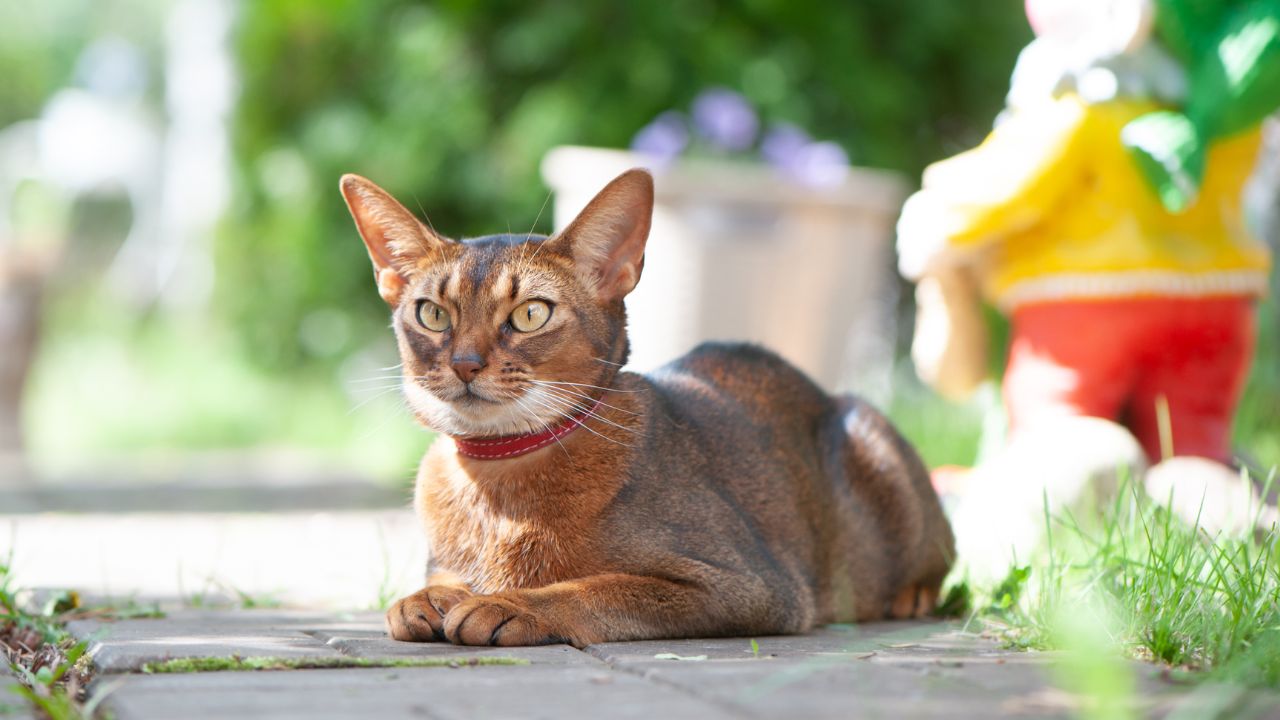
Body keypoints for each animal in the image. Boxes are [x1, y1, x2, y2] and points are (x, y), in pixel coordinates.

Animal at [337, 167, 952, 645]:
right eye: (432, 314)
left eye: (531, 314)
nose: (465, 363)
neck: (499, 477)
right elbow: (436, 582)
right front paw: (430, 596)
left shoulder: (753, 585)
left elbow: (598, 588)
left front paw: (508, 603)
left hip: (877, 448)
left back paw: (914, 596)